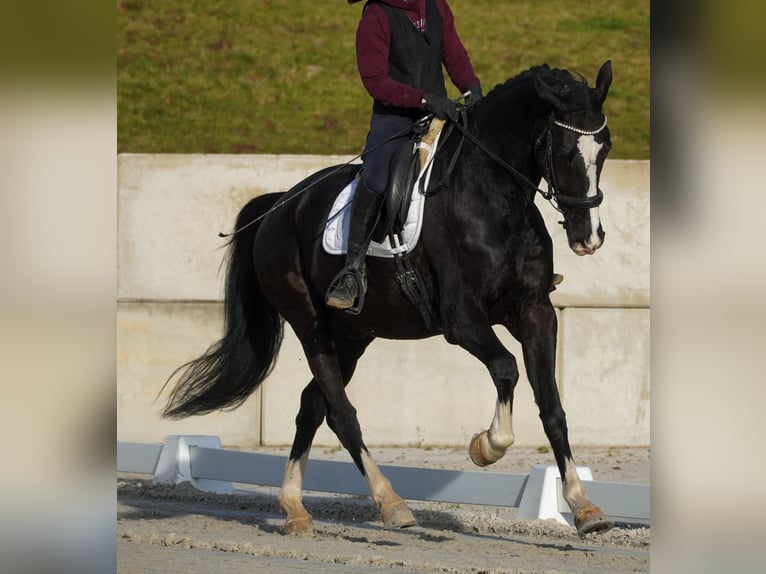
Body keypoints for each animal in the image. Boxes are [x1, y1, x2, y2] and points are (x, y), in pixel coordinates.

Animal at [162, 61, 614, 538]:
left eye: (605, 149)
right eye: (564, 151)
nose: (589, 238)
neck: (494, 198)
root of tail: (281, 205)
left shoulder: (535, 312)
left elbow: (552, 406)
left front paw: (584, 507)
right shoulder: (461, 320)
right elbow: (506, 368)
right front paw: (486, 446)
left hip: (353, 336)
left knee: (312, 406)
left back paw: (295, 508)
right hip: (311, 324)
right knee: (341, 413)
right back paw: (391, 503)